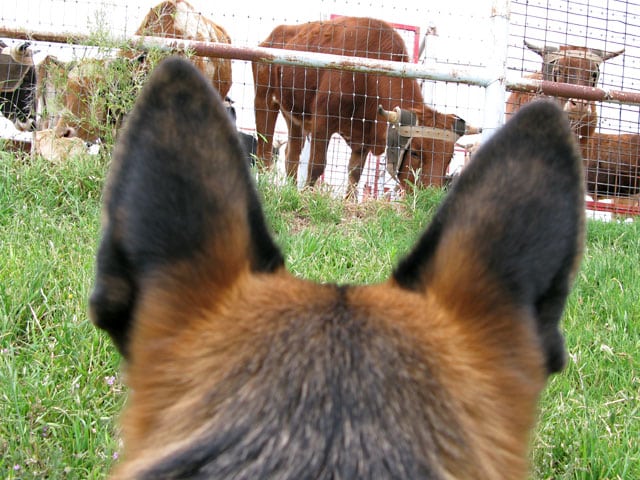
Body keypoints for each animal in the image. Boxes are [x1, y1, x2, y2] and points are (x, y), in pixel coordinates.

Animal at [252, 16, 468, 197]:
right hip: (264, 100)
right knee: (264, 152)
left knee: (292, 155)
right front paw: (306, 197)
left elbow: (355, 174)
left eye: (449, 158)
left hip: (293, 116)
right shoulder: (322, 121)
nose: (429, 197)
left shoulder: (362, 139)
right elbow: (316, 165)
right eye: (415, 152)